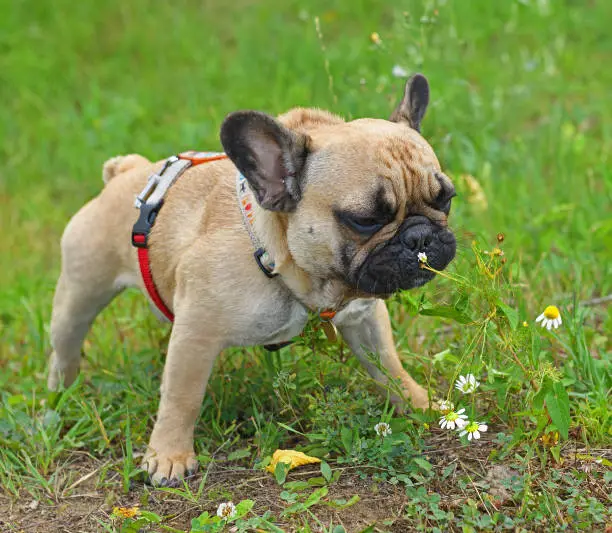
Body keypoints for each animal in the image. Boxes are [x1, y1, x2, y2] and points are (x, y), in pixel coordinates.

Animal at [49, 72, 454, 484]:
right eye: (366, 220)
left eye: (445, 200)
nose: (420, 236)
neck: (282, 263)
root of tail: (127, 173)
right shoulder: (196, 332)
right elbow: (182, 398)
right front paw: (169, 456)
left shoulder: (364, 316)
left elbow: (387, 364)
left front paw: (418, 403)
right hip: (80, 292)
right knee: (65, 348)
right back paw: (60, 398)